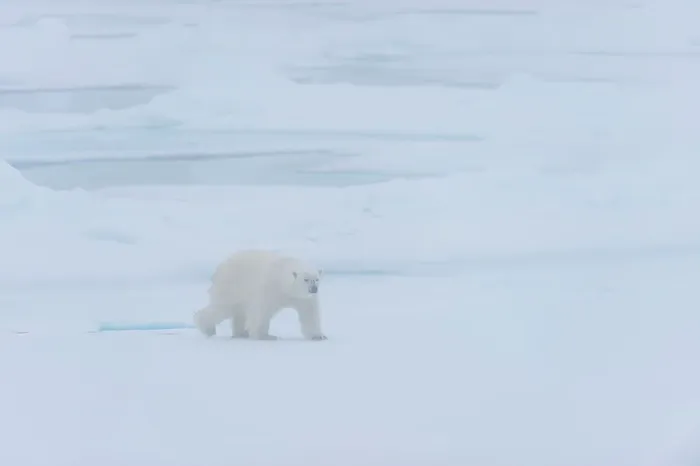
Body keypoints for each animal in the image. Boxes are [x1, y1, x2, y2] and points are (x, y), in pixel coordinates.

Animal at [193, 249, 327, 341]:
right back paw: (208, 329)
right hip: (231, 287)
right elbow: (261, 311)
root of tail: (220, 268)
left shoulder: (304, 298)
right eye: (305, 279)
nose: (313, 289)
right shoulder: (270, 288)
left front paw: (318, 336)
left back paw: (241, 333)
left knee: (238, 312)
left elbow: (310, 313)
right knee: (222, 308)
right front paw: (265, 336)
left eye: (316, 279)